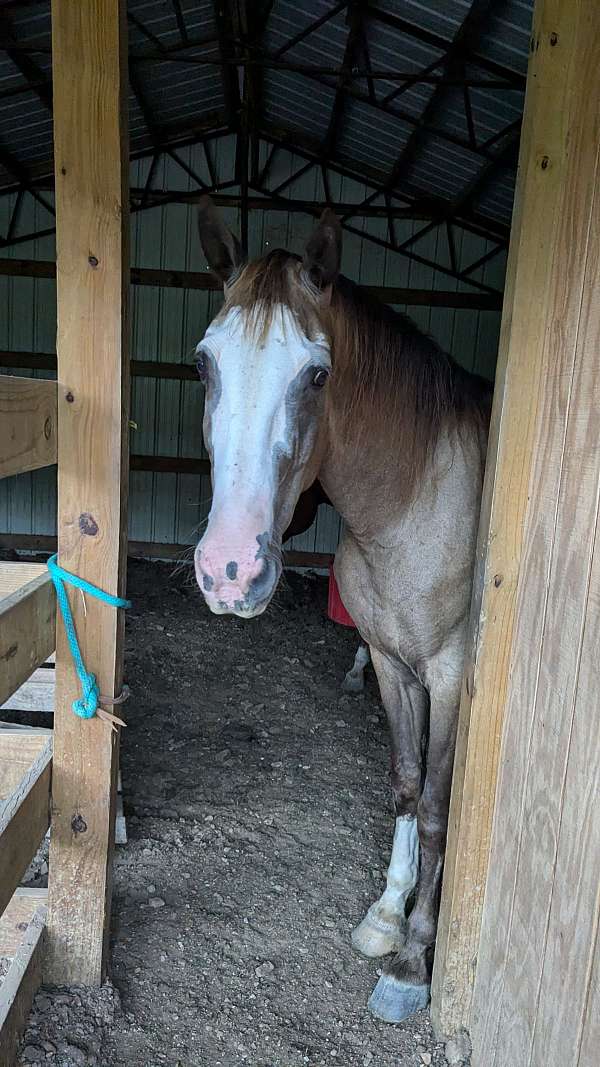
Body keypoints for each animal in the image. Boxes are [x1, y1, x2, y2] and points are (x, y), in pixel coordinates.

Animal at [192, 196, 491, 1020]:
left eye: (317, 373)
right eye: (204, 362)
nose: (230, 569)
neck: (415, 502)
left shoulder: (451, 677)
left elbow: (438, 804)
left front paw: (414, 960)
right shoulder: (391, 664)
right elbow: (404, 782)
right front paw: (385, 917)